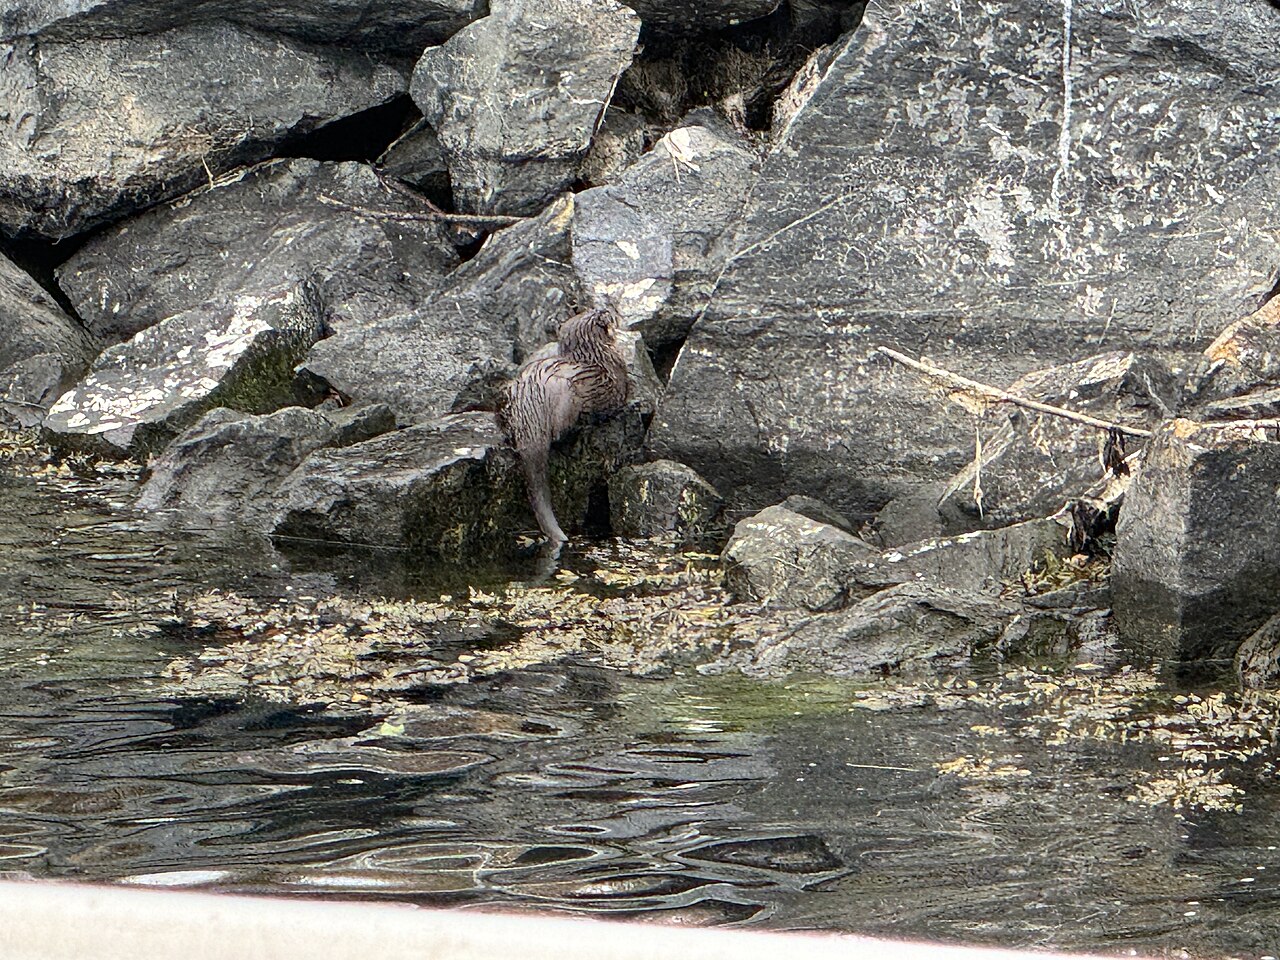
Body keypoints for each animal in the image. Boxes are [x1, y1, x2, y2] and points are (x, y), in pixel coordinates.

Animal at [498, 304, 630, 547]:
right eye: (603, 312)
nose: (607, 307)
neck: (599, 357)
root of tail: (530, 405)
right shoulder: (620, 384)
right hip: (567, 395)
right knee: (559, 434)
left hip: (509, 391)